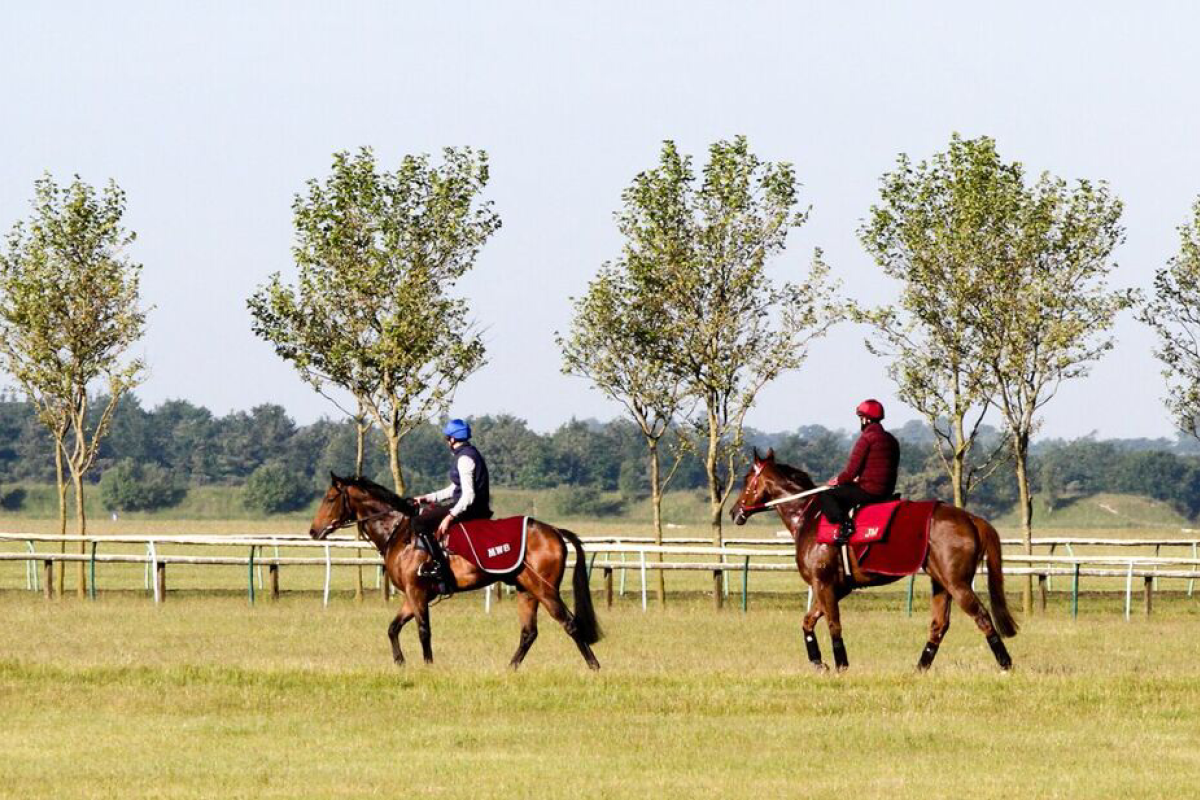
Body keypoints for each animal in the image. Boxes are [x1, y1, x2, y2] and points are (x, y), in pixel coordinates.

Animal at [309, 474, 600, 671]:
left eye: (330, 498)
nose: (313, 531)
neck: (399, 533)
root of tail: (554, 531)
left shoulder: (417, 593)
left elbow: (423, 630)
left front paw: (428, 666)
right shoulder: (412, 596)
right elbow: (393, 628)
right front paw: (400, 662)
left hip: (544, 590)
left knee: (570, 624)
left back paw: (594, 666)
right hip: (526, 590)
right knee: (529, 632)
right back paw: (509, 669)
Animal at [724, 453, 1017, 671]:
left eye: (747, 479)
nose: (734, 511)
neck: (809, 516)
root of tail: (970, 518)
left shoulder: (824, 584)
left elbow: (833, 623)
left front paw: (840, 665)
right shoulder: (834, 587)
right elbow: (808, 621)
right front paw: (818, 662)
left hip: (957, 584)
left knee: (982, 617)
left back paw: (1005, 664)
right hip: (941, 583)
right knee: (939, 625)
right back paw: (919, 668)